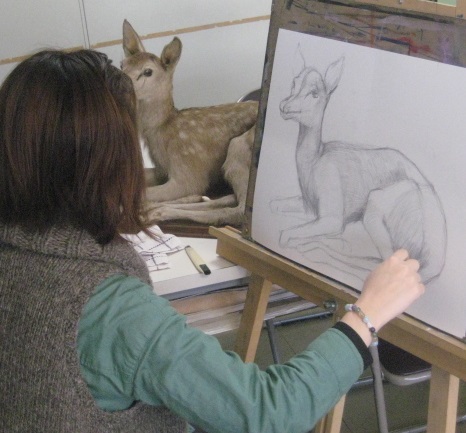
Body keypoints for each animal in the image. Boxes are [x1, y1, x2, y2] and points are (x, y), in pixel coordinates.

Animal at [121, 19, 258, 226]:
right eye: (122, 64)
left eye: (147, 71)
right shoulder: (162, 170)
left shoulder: (188, 171)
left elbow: (147, 192)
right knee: (229, 199)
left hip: (239, 149)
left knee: (239, 211)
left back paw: (155, 212)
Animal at [271, 48, 447, 284]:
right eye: (294, 82)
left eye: (315, 93)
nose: (284, 107)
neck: (316, 160)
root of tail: (437, 259)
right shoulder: (309, 208)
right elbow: (275, 205)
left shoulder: (332, 218)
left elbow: (284, 235)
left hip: (375, 206)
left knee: (384, 264)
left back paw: (318, 250)